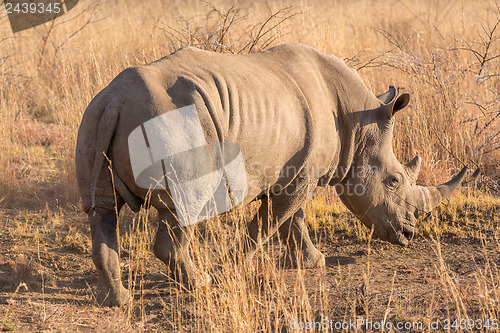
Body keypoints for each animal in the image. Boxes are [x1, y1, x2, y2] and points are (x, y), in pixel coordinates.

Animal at [75, 43, 468, 306]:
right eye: (394, 180)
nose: (408, 234)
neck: (358, 124)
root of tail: (115, 101)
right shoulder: (296, 178)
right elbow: (269, 224)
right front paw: (226, 272)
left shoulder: (294, 173)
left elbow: (293, 220)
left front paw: (311, 263)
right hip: (171, 126)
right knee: (183, 207)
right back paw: (199, 284)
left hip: (94, 115)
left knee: (102, 210)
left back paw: (118, 301)